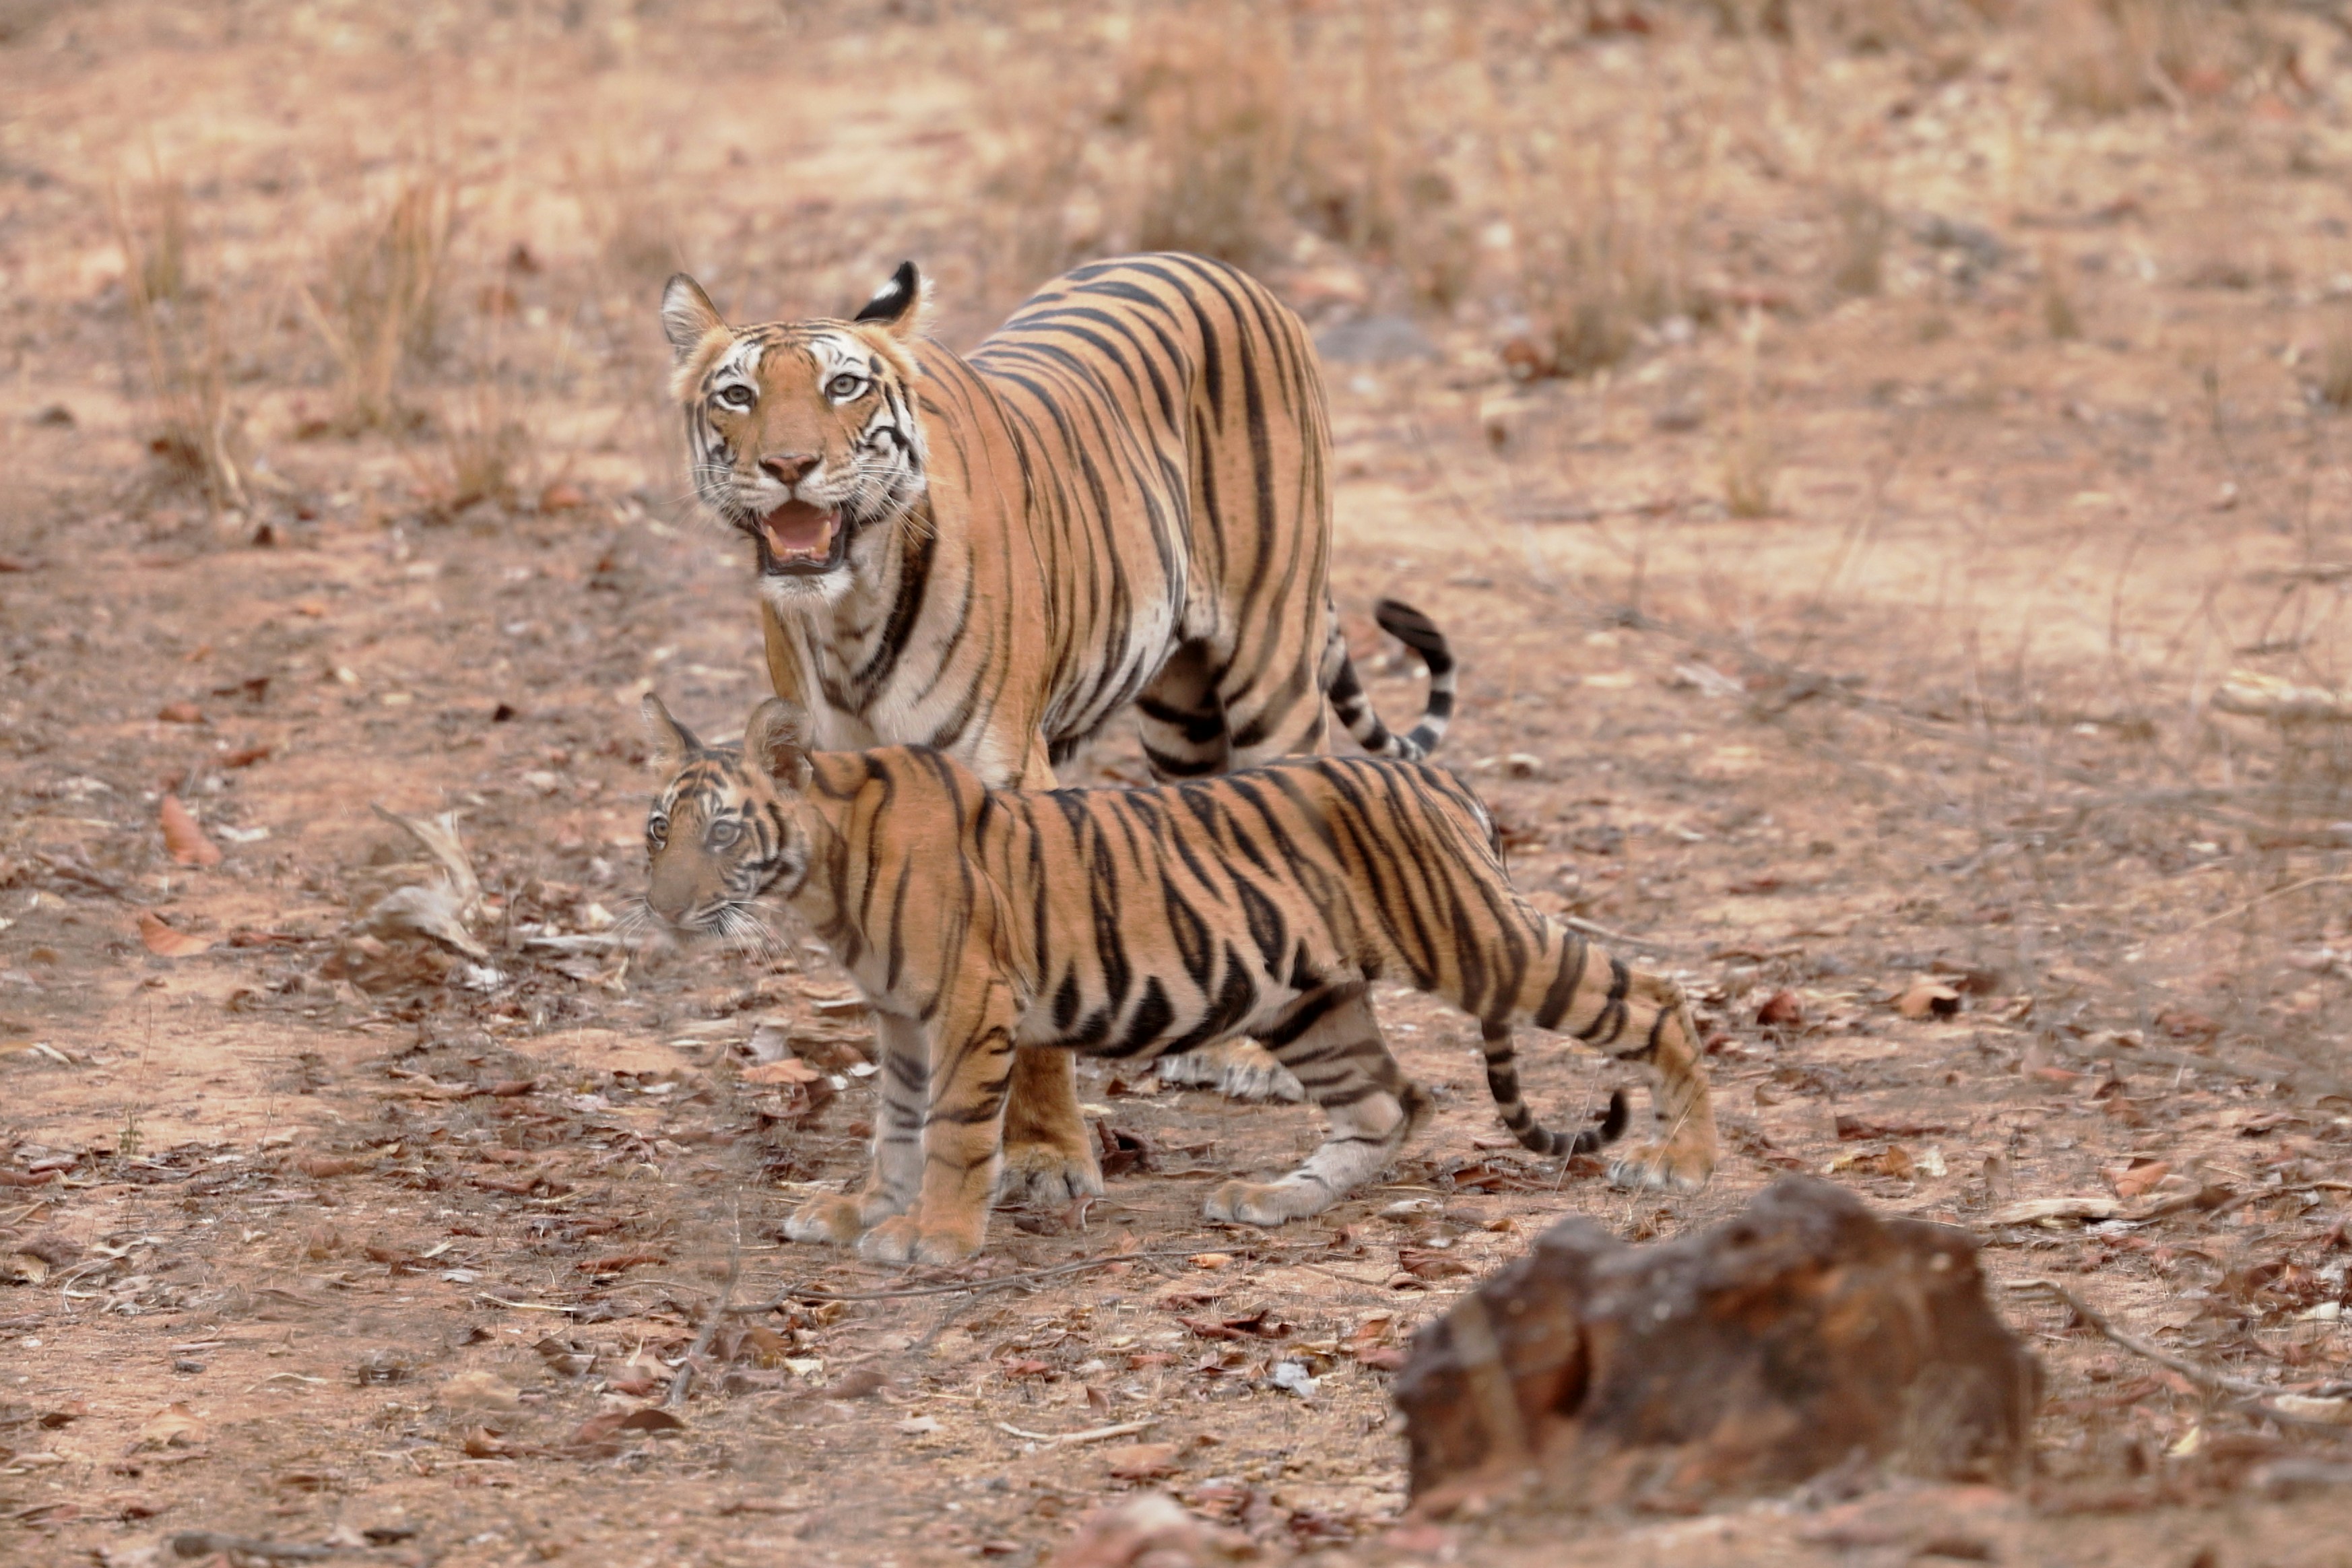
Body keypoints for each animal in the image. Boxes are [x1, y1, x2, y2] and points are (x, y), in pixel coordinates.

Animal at [639, 693, 1717, 1266]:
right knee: (1390, 1103)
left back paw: (1683, 1161)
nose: (660, 909)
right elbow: (895, 1128)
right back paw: (1276, 1199)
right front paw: (864, 1208)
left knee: (1658, 996)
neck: (824, 873)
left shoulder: (970, 1008)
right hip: (1309, 1002)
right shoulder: (902, 1021)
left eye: (722, 833)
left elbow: (951, 1133)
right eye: (659, 829)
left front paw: (935, 1236)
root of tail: (1443, 780)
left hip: (1482, 944)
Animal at [658, 251, 1459, 1201]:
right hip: (1181, 716)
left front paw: (1044, 1157)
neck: (847, 616)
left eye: (843, 386)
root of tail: (1210, 263)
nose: (789, 465)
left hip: (1273, 662)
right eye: (737, 395)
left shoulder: (1003, 780)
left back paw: (1262, 1065)